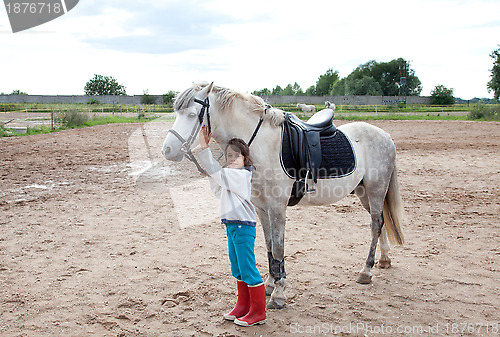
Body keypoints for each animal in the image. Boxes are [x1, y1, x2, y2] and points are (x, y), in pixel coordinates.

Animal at [162, 81, 404, 308]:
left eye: (192, 114)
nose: (167, 151)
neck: (260, 145)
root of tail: (385, 136)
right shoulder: (261, 207)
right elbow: (269, 246)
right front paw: (270, 284)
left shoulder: (277, 208)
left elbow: (278, 248)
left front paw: (279, 294)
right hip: (365, 193)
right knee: (381, 221)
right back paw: (384, 259)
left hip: (376, 190)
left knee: (375, 224)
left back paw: (366, 270)